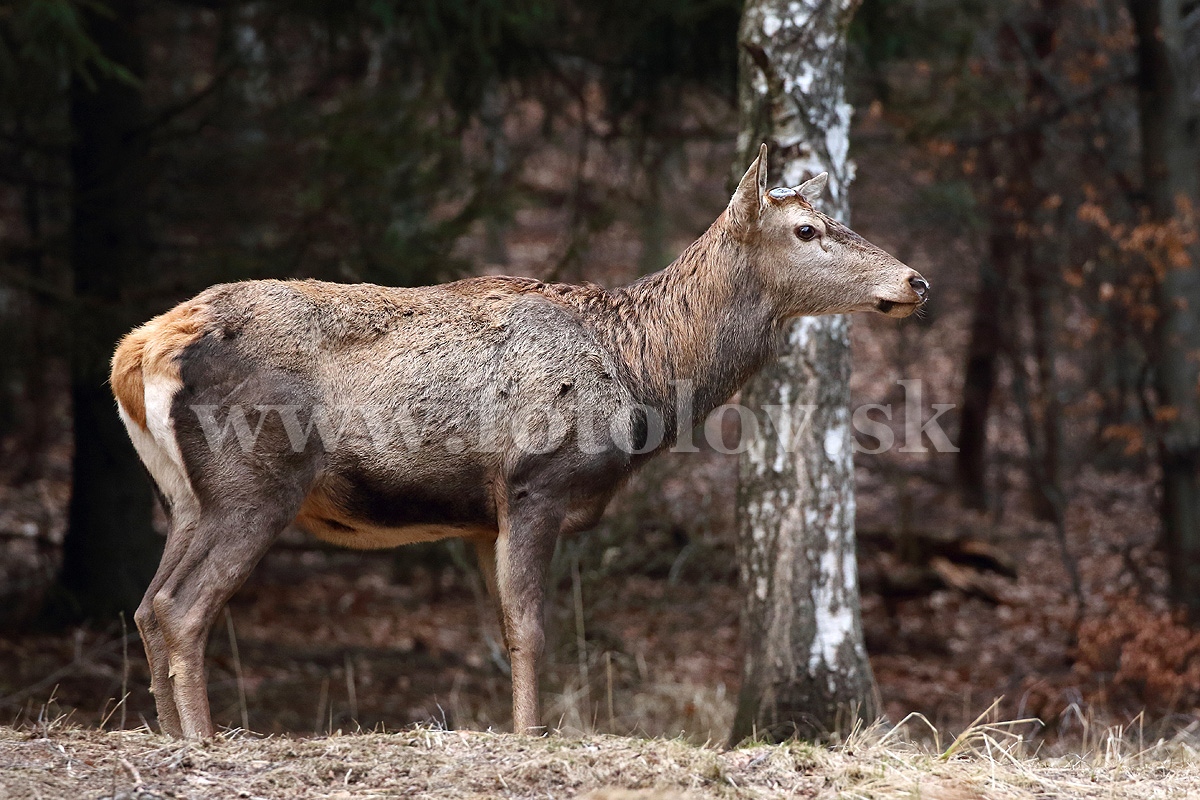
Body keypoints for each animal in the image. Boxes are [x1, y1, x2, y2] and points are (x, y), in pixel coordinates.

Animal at [110, 145, 926, 738]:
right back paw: (203, 740)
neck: (645, 374)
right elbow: (535, 630)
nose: (915, 281)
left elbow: (504, 632)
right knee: (182, 607)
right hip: (257, 478)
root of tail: (138, 350)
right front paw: (532, 737)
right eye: (807, 230)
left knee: (147, 606)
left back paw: (169, 735)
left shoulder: (481, 516)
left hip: (186, 496)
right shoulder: (538, 480)